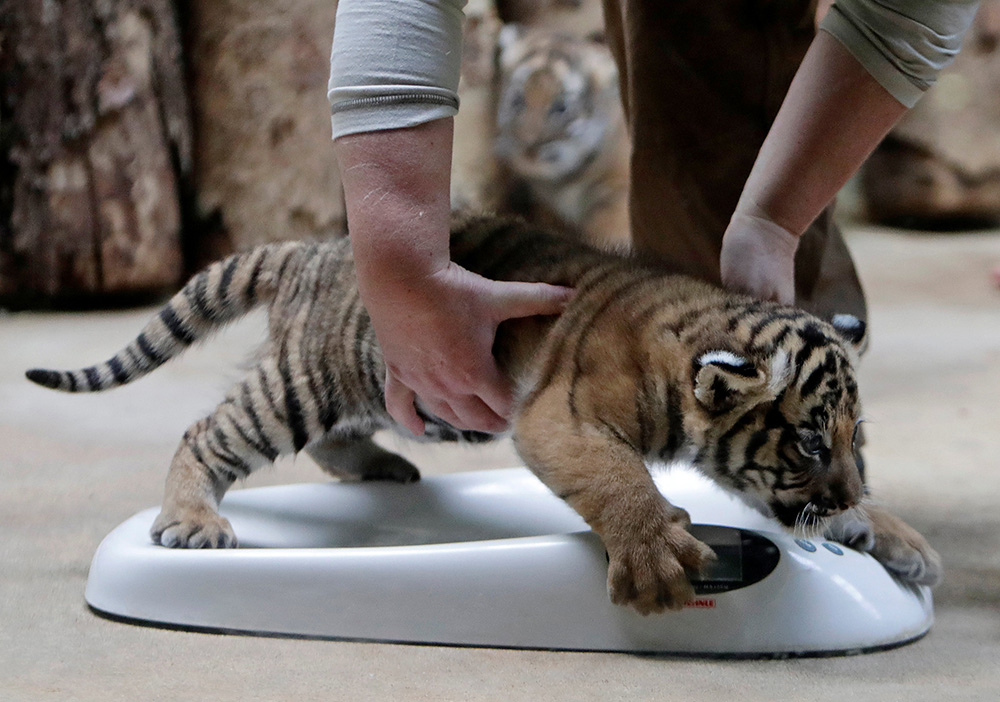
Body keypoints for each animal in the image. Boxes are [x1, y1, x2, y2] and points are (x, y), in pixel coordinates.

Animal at [26, 214, 940, 614]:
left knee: (334, 442)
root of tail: (306, 249)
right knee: (207, 432)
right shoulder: (561, 416)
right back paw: (192, 521)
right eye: (810, 443)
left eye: (855, 442)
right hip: (305, 382)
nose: (843, 491)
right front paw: (656, 559)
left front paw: (899, 538)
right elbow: (620, 480)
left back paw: (384, 468)